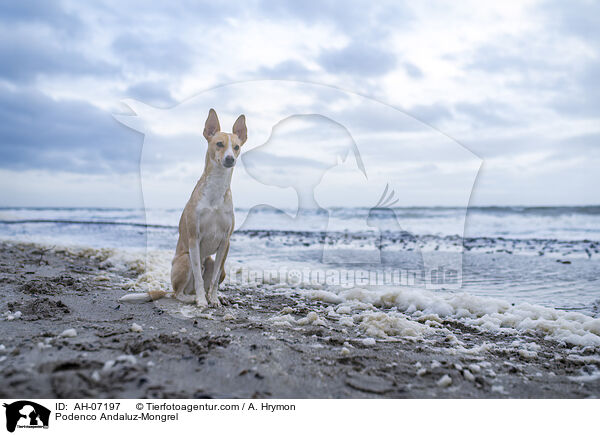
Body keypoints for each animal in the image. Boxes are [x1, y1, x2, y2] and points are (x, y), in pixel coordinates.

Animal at [122, 108, 246, 306]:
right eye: (219, 144)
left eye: (236, 147)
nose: (230, 159)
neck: (217, 187)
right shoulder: (194, 238)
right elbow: (199, 276)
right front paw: (202, 302)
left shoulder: (225, 242)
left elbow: (213, 279)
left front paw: (214, 299)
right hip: (185, 259)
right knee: (178, 293)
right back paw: (193, 298)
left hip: (214, 263)